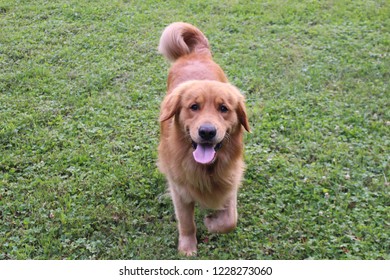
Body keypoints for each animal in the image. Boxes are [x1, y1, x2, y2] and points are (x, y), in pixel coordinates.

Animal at [157, 23, 248, 258]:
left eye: (223, 108)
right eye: (194, 107)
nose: (207, 132)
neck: (206, 169)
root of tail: (195, 54)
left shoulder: (230, 181)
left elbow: (230, 221)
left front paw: (211, 222)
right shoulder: (179, 190)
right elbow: (186, 222)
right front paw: (188, 247)